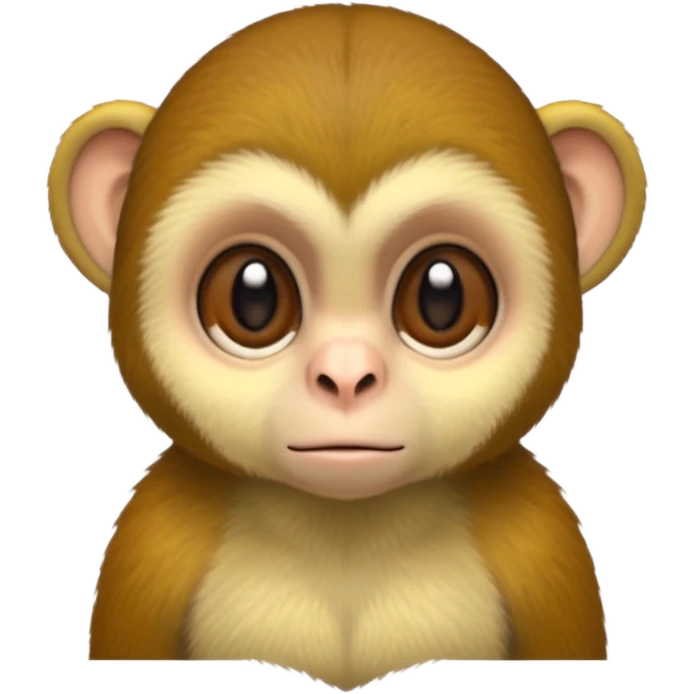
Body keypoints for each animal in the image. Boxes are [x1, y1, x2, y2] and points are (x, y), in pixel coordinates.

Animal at [51, 4, 645, 689]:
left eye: (442, 296)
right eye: (252, 296)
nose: (345, 376)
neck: (346, 528)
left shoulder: (541, 548)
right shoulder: (152, 549)